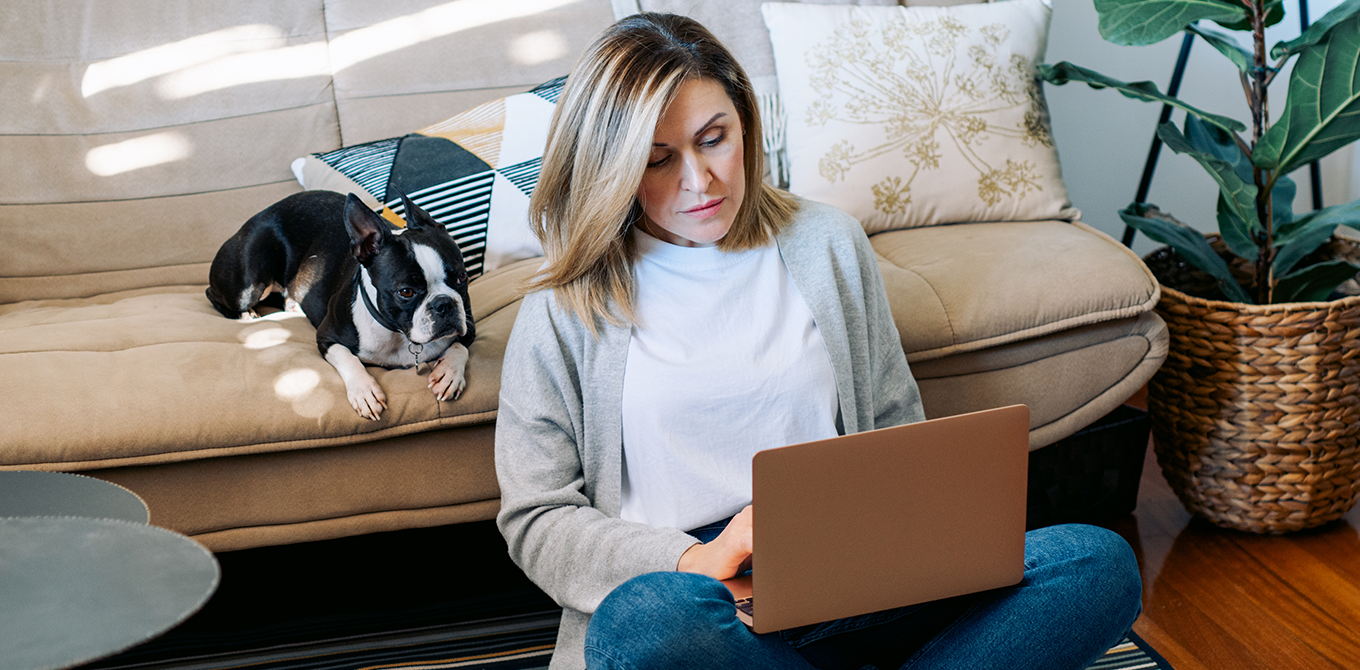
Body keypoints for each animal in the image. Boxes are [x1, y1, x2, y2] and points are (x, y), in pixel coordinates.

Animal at [202, 188, 473, 418]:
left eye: (462, 276)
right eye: (406, 291)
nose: (444, 304)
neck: (398, 334)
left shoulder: (468, 326)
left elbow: (460, 347)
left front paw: (449, 373)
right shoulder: (326, 337)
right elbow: (348, 358)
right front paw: (364, 391)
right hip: (249, 283)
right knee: (213, 294)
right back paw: (246, 314)